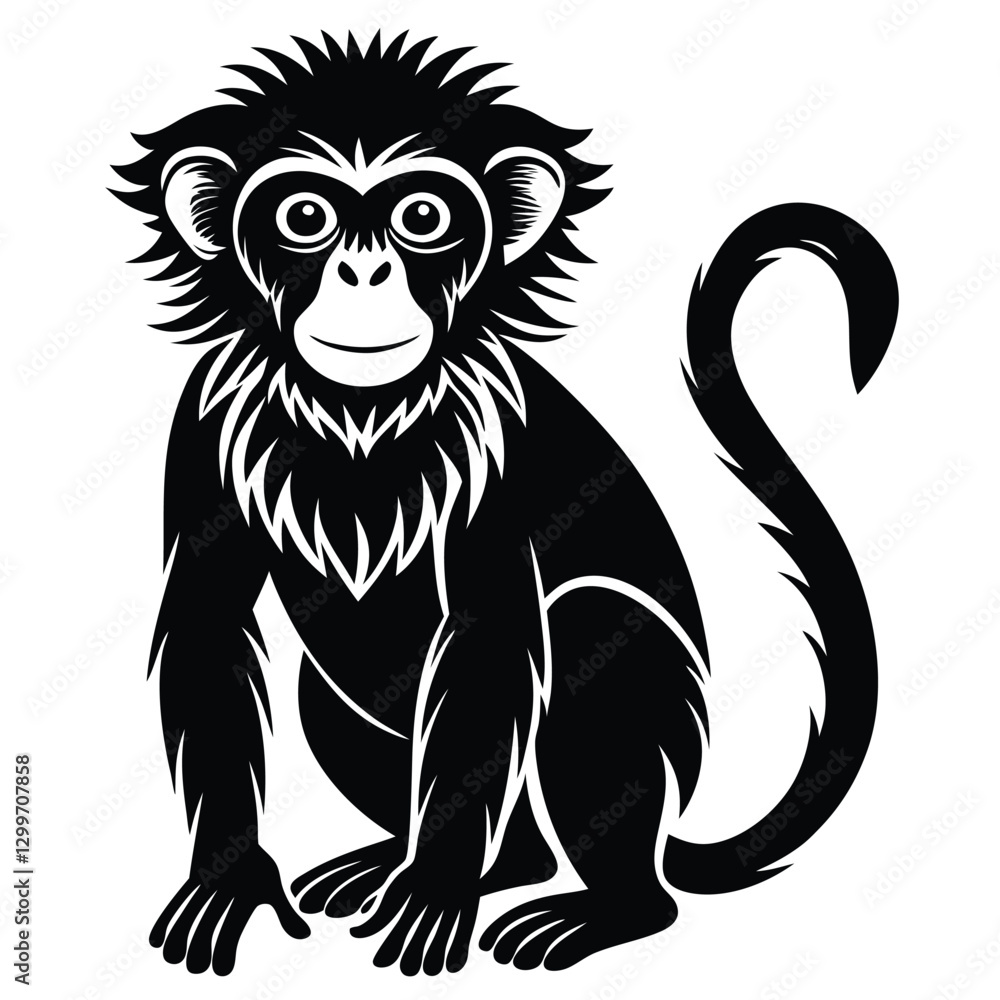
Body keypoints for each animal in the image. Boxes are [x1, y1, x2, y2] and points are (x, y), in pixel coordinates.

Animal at [113, 31, 897, 977]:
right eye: (304, 217)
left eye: (423, 218)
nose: (364, 271)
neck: (362, 410)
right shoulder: (204, 421)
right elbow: (211, 623)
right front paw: (233, 875)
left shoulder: (499, 444)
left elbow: (489, 635)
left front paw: (433, 888)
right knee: (336, 699)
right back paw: (440, 862)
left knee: (592, 624)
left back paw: (607, 905)